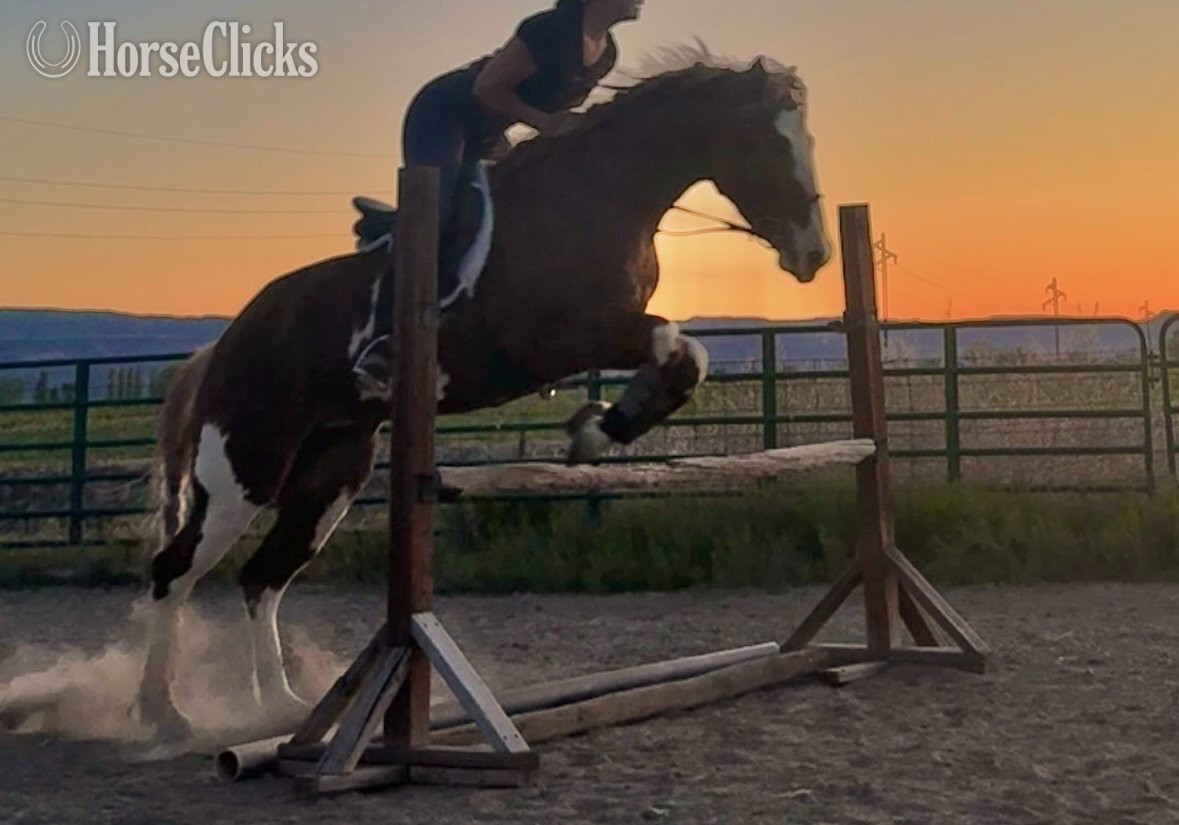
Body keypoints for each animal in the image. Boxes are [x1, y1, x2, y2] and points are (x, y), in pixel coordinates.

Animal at [136, 53, 831, 740]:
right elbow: (675, 343)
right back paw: (163, 713)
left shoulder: (599, 336)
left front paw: (602, 426)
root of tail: (226, 342)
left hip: (330, 473)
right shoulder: (555, 338)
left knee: (263, 578)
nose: (816, 255)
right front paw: (596, 428)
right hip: (244, 468)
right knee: (175, 570)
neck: (598, 197)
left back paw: (282, 706)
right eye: (771, 143)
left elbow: (687, 355)